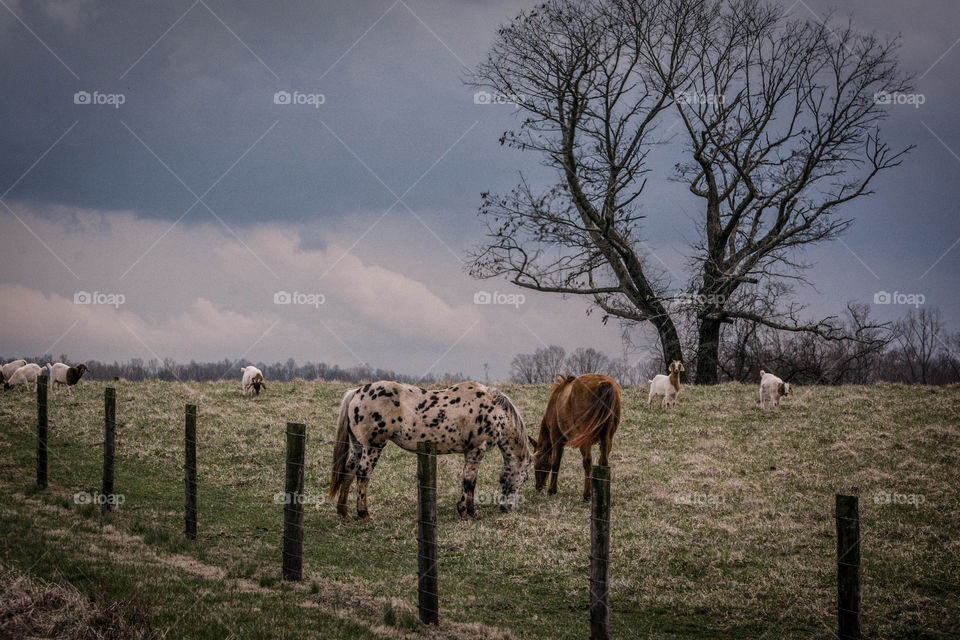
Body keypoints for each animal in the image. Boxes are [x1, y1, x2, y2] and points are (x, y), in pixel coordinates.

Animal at [328, 380, 528, 520]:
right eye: (525, 478)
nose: (507, 508)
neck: (495, 410)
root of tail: (355, 393)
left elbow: (470, 481)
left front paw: (470, 511)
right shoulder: (476, 450)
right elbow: (469, 481)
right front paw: (466, 512)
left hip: (358, 447)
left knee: (348, 471)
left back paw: (343, 512)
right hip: (372, 447)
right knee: (363, 474)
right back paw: (364, 513)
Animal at [524, 372, 624, 502]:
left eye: (537, 461)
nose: (538, 486)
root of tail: (604, 384)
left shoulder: (557, 439)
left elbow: (556, 463)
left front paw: (552, 490)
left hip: (585, 438)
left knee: (588, 463)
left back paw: (586, 495)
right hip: (607, 437)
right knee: (603, 462)